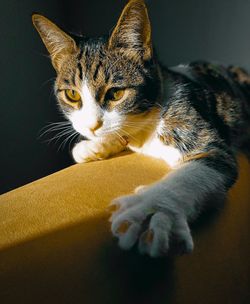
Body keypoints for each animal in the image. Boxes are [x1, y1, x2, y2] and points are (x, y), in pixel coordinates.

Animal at [32, 0, 250, 256]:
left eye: (116, 93)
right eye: (72, 95)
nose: (91, 126)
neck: (147, 126)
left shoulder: (196, 126)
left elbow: (200, 168)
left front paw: (152, 210)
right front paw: (93, 146)